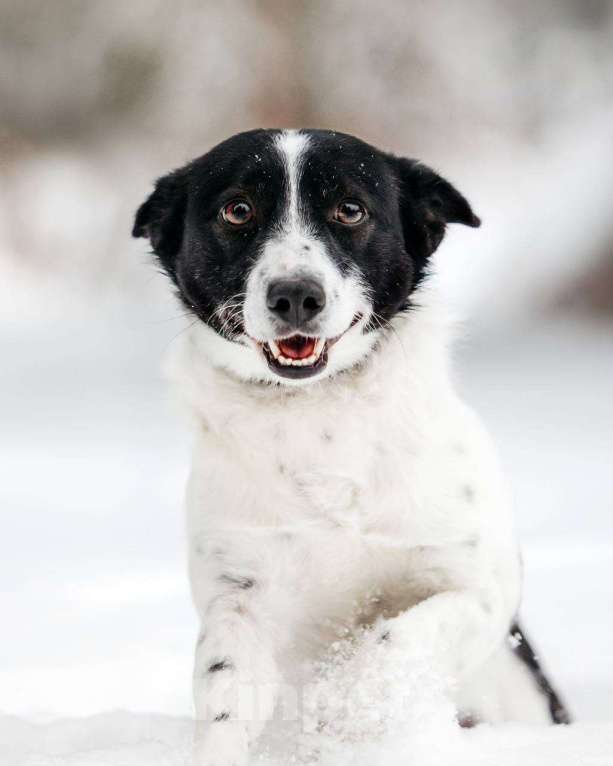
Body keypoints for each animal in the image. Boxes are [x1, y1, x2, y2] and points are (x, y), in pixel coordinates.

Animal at [133, 129, 568, 764]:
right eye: (237, 210)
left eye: (351, 209)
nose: (295, 295)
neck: (320, 422)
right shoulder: (240, 597)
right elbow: (225, 692)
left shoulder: (481, 588)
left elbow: (393, 639)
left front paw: (342, 705)